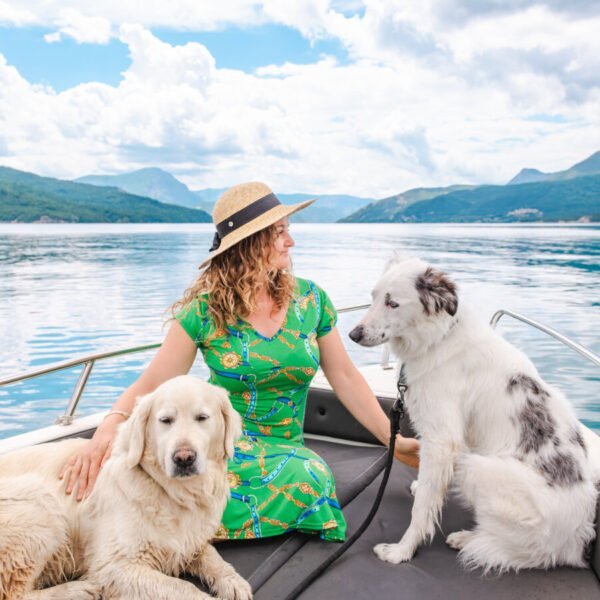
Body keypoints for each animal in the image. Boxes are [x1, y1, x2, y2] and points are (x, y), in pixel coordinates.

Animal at [350, 255, 596, 576]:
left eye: (393, 303)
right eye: (374, 297)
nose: (353, 334)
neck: (439, 338)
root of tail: (576, 541)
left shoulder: (442, 440)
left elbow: (423, 508)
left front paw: (402, 551)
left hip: (477, 467)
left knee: (532, 552)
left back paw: (471, 540)